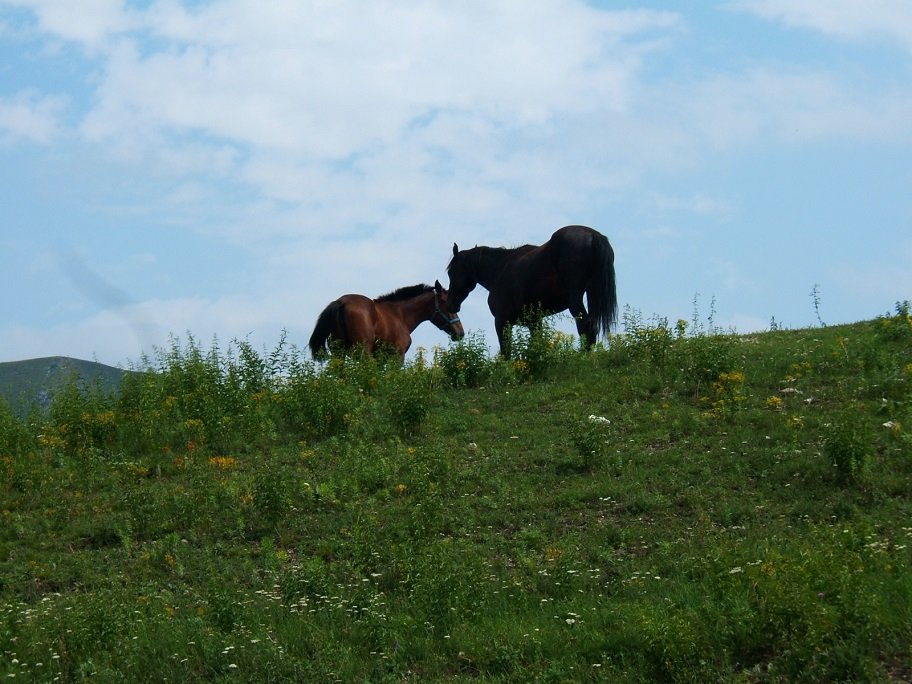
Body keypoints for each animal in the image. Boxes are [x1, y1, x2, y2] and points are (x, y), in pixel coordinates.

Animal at [308, 280, 464, 360]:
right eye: (446, 303)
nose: (460, 333)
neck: (400, 314)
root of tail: (341, 302)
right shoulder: (398, 356)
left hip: (338, 353)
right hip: (363, 352)